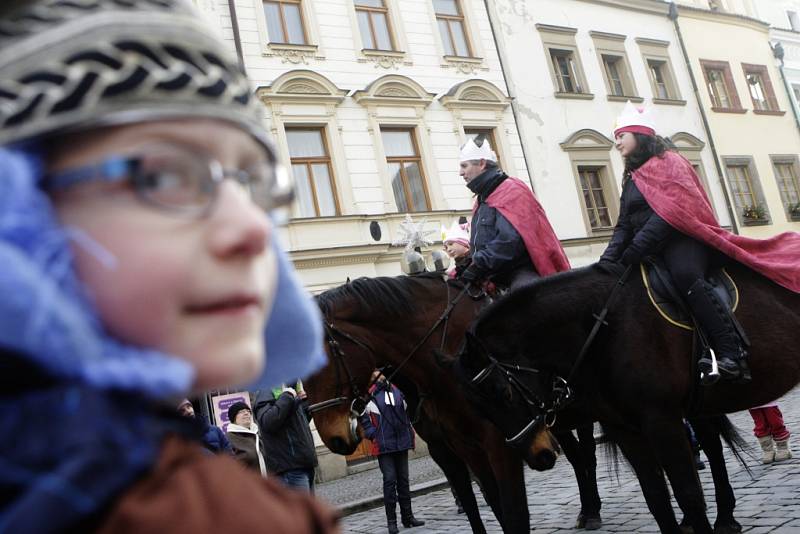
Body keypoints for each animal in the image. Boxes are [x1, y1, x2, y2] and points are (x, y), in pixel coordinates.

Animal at [440, 264, 796, 534]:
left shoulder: (662, 421)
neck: (605, 326)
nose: (538, 456)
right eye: (479, 408)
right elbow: (656, 498)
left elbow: (689, 495)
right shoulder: (626, 429)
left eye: (504, 392)